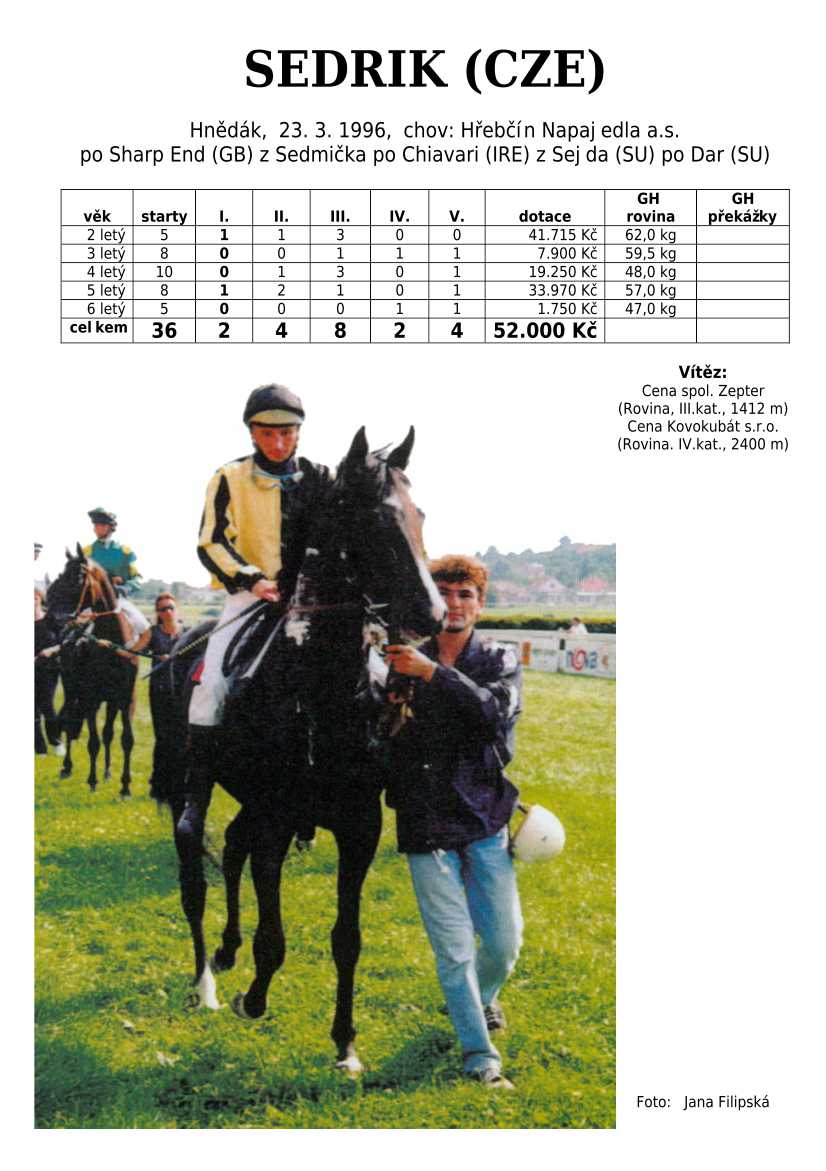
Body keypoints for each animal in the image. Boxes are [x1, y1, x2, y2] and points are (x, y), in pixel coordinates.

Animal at [45, 546, 139, 795]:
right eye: (61, 572)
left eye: (78, 577)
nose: (50, 607)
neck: (111, 643)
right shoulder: (89, 697)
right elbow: (93, 741)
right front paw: (92, 780)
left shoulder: (123, 698)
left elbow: (125, 739)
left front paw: (125, 786)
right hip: (73, 692)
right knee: (69, 722)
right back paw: (67, 767)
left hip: (108, 702)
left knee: (107, 733)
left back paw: (106, 772)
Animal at [166, 426, 446, 1074]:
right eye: (372, 518)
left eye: (419, 514)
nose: (434, 614)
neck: (319, 689)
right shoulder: (278, 817)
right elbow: (273, 936)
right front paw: (253, 998)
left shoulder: (359, 824)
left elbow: (348, 938)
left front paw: (345, 1043)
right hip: (196, 782)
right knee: (195, 863)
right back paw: (206, 982)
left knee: (232, 846)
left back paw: (225, 950)